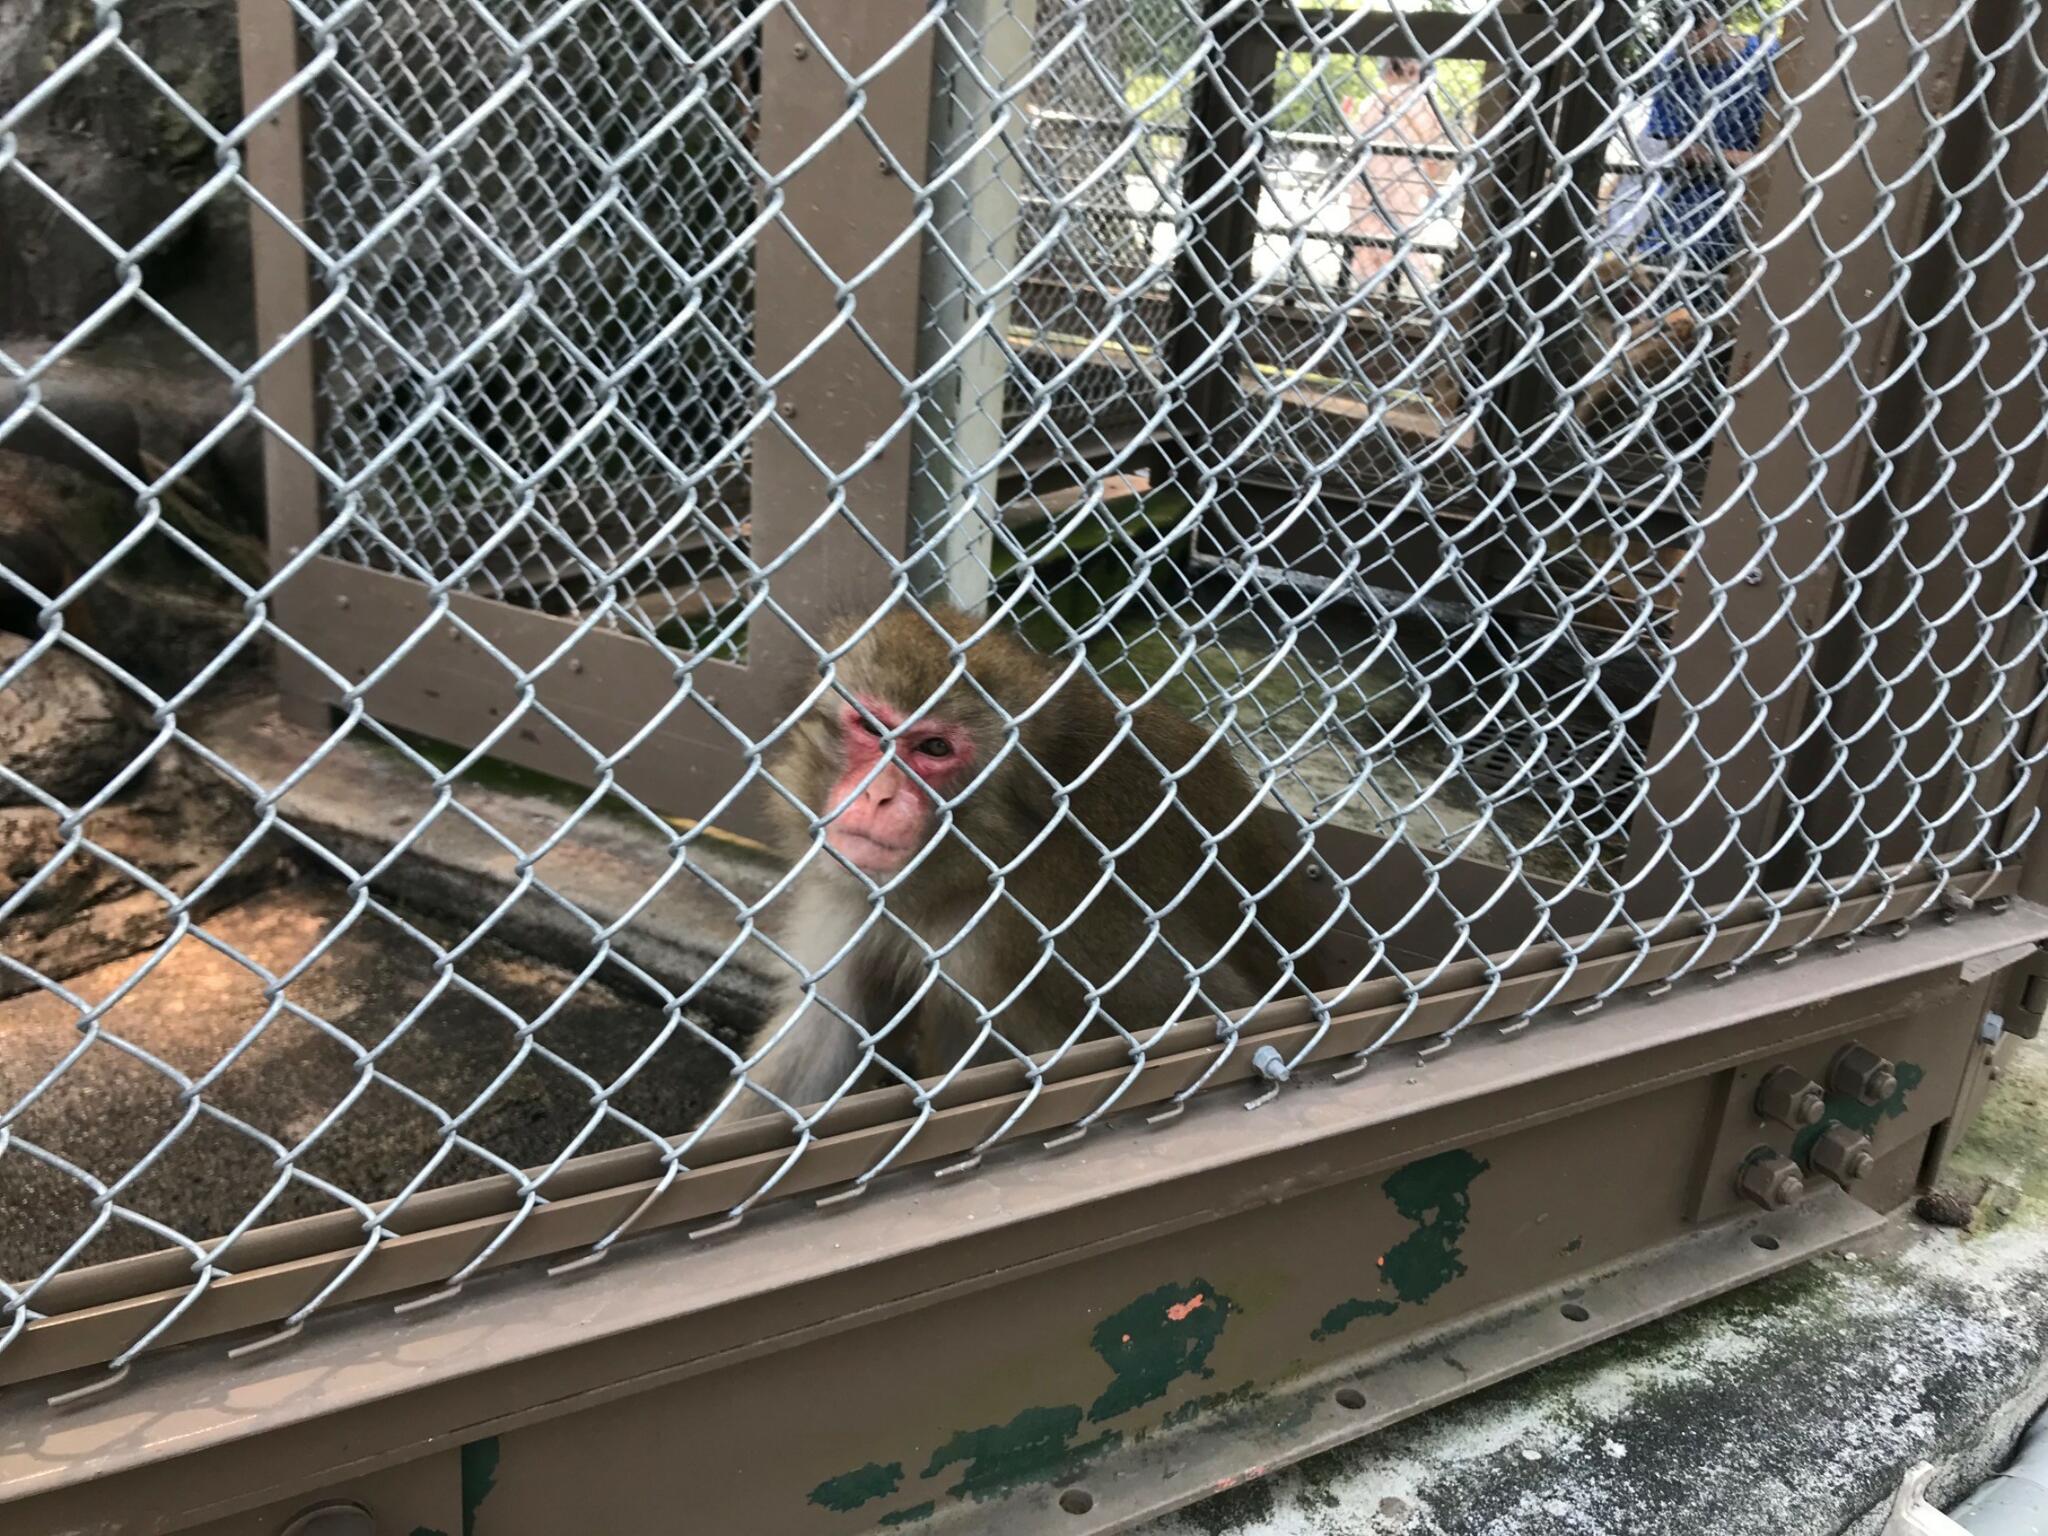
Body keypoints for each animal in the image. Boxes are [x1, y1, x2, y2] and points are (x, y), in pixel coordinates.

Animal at [729, 606, 1335, 1122]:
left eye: (934, 748)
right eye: (873, 730)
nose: (877, 795)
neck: (979, 862)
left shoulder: (1076, 911)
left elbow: (1224, 1020)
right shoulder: (856, 888)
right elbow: (816, 1044)